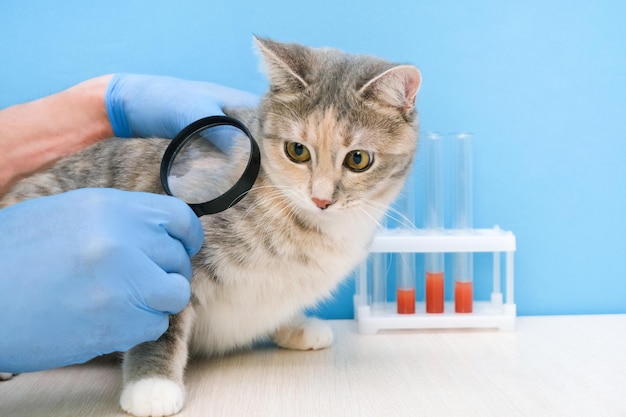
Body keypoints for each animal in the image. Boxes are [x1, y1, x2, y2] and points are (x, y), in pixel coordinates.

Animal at [1, 37, 420, 414]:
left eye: (358, 159)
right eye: (297, 151)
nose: (321, 199)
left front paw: (294, 326)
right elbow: (163, 323)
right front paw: (152, 385)